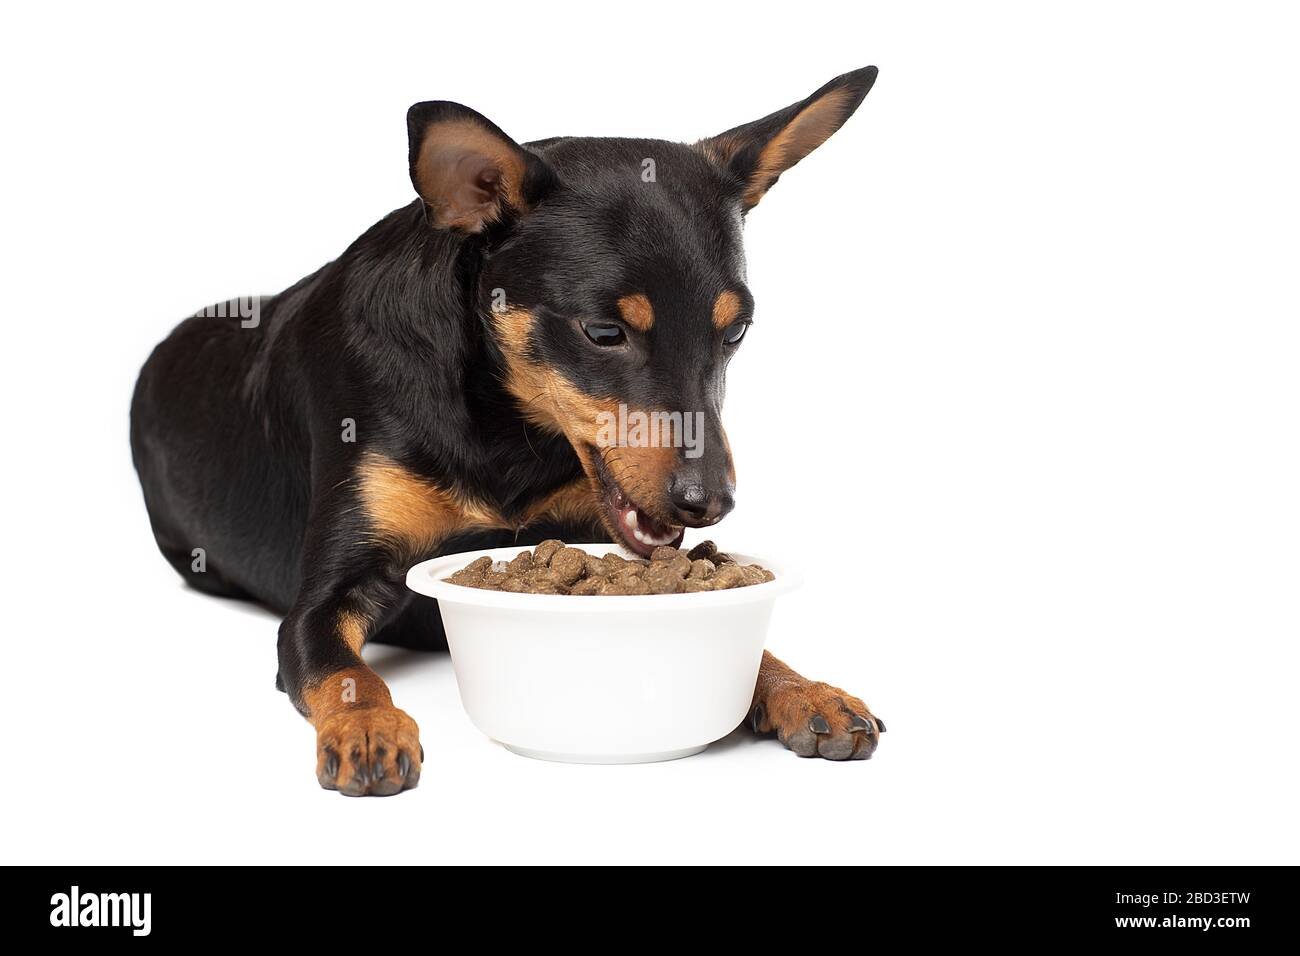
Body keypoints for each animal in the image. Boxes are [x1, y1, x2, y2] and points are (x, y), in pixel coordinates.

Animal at [129, 67, 883, 796]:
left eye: (736, 331)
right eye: (602, 332)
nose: (712, 502)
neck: (504, 424)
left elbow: (748, 642)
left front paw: (804, 689)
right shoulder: (319, 604)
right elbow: (348, 674)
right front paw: (370, 728)